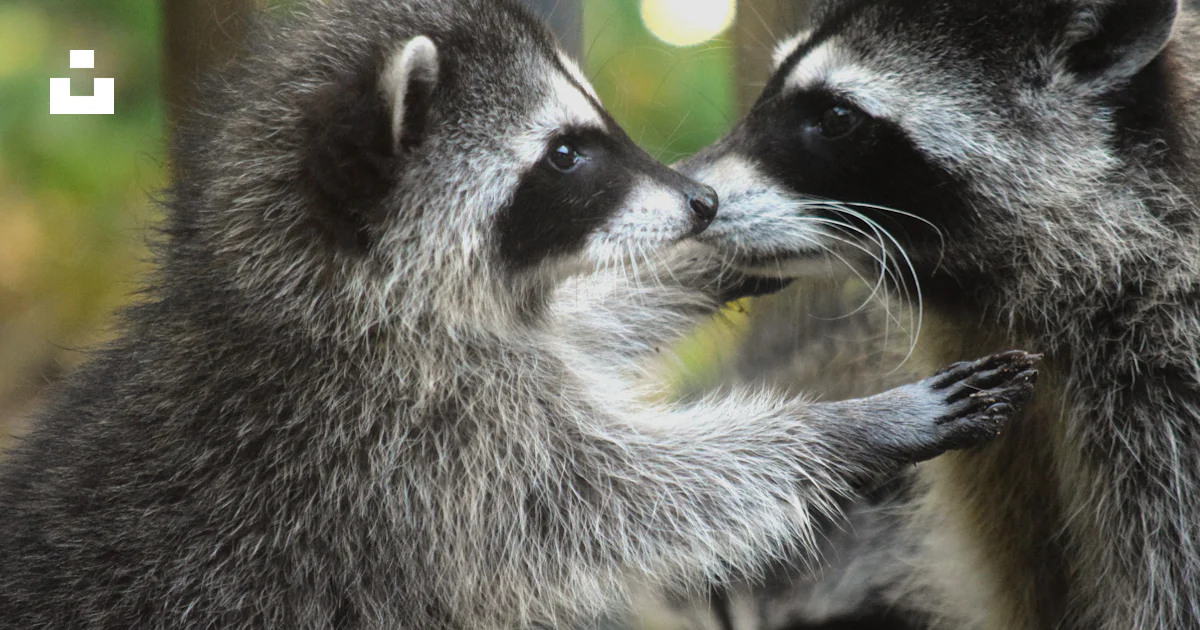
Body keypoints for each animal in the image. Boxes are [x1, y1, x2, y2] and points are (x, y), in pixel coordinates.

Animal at [0, 0, 1038, 628]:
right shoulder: (402, 442)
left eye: (589, 134)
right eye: (567, 155)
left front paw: (712, 256)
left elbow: (573, 330)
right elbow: (619, 498)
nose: (702, 203)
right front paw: (846, 429)